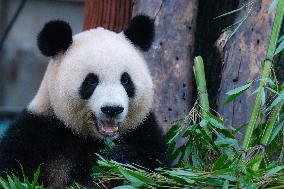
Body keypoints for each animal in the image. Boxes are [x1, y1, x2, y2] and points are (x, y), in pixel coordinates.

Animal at [0, 15, 169, 188]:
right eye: (91, 81)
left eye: (126, 80)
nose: (112, 109)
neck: (93, 138)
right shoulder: (39, 128)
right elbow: (13, 172)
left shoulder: (142, 128)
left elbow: (157, 169)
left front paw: (122, 159)